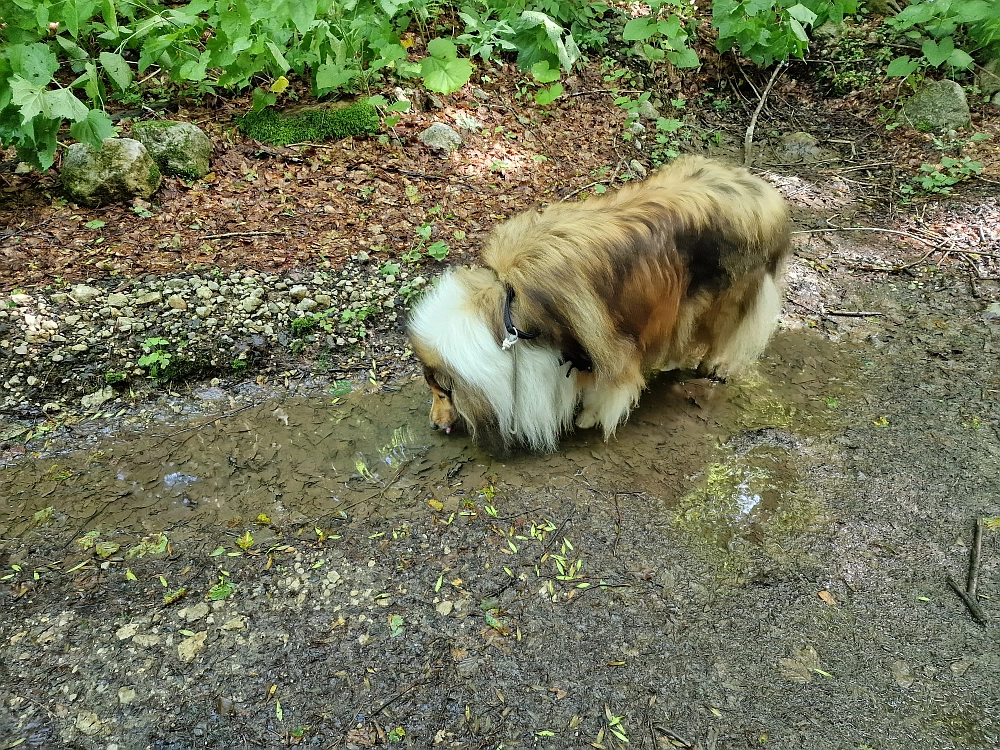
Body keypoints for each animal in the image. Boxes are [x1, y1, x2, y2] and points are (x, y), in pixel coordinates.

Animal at [406, 156, 788, 452]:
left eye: (442, 392)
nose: (433, 425)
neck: (509, 307)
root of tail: (762, 190)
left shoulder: (604, 347)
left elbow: (606, 387)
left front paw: (588, 417)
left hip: (723, 297)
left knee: (725, 333)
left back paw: (715, 366)